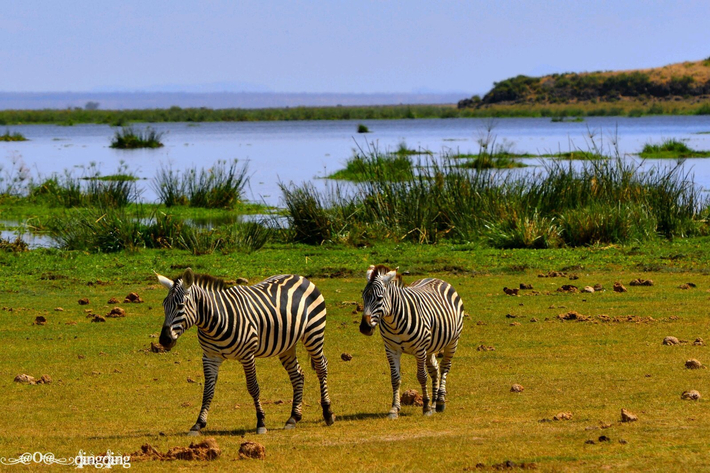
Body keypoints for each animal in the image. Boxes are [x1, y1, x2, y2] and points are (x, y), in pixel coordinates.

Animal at [156, 268, 336, 434]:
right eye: (164, 305)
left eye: (180, 306)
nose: (164, 340)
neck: (215, 321)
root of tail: (300, 277)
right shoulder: (210, 357)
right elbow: (208, 391)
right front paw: (198, 424)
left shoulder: (247, 355)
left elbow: (253, 387)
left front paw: (261, 422)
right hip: (287, 344)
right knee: (297, 375)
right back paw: (293, 418)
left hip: (314, 332)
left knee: (322, 367)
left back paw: (328, 413)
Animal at [362, 266, 468, 416]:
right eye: (363, 297)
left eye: (379, 298)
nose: (364, 328)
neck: (394, 322)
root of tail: (436, 278)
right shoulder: (391, 349)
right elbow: (395, 378)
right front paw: (394, 408)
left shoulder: (419, 350)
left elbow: (422, 376)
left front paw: (426, 407)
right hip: (430, 347)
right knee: (435, 369)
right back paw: (434, 403)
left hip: (453, 341)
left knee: (444, 367)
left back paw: (440, 402)